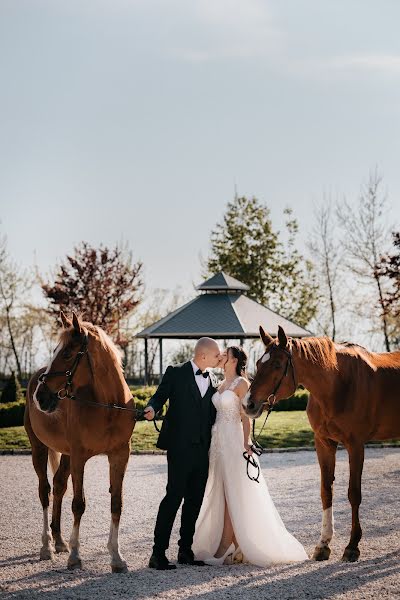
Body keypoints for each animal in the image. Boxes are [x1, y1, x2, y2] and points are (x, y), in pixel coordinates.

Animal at [24, 314, 136, 572]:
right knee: (44, 491)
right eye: (56, 350)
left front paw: (116, 557)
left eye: (67, 353)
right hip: (39, 448)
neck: (108, 405)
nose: (40, 396)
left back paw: (59, 540)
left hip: (64, 454)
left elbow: (117, 503)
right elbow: (78, 504)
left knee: (58, 486)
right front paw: (75, 556)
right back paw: (47, 546)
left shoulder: (120, 455)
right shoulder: (79, 457)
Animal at [242, 324, 400, 564]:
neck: (338, 384)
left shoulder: (355, 445)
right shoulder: (324, 443)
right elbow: (326, 491)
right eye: (259, 363)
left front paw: (352, 546)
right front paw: (323, 544)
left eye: (277, 364)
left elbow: (354, 493)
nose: (248, 404)